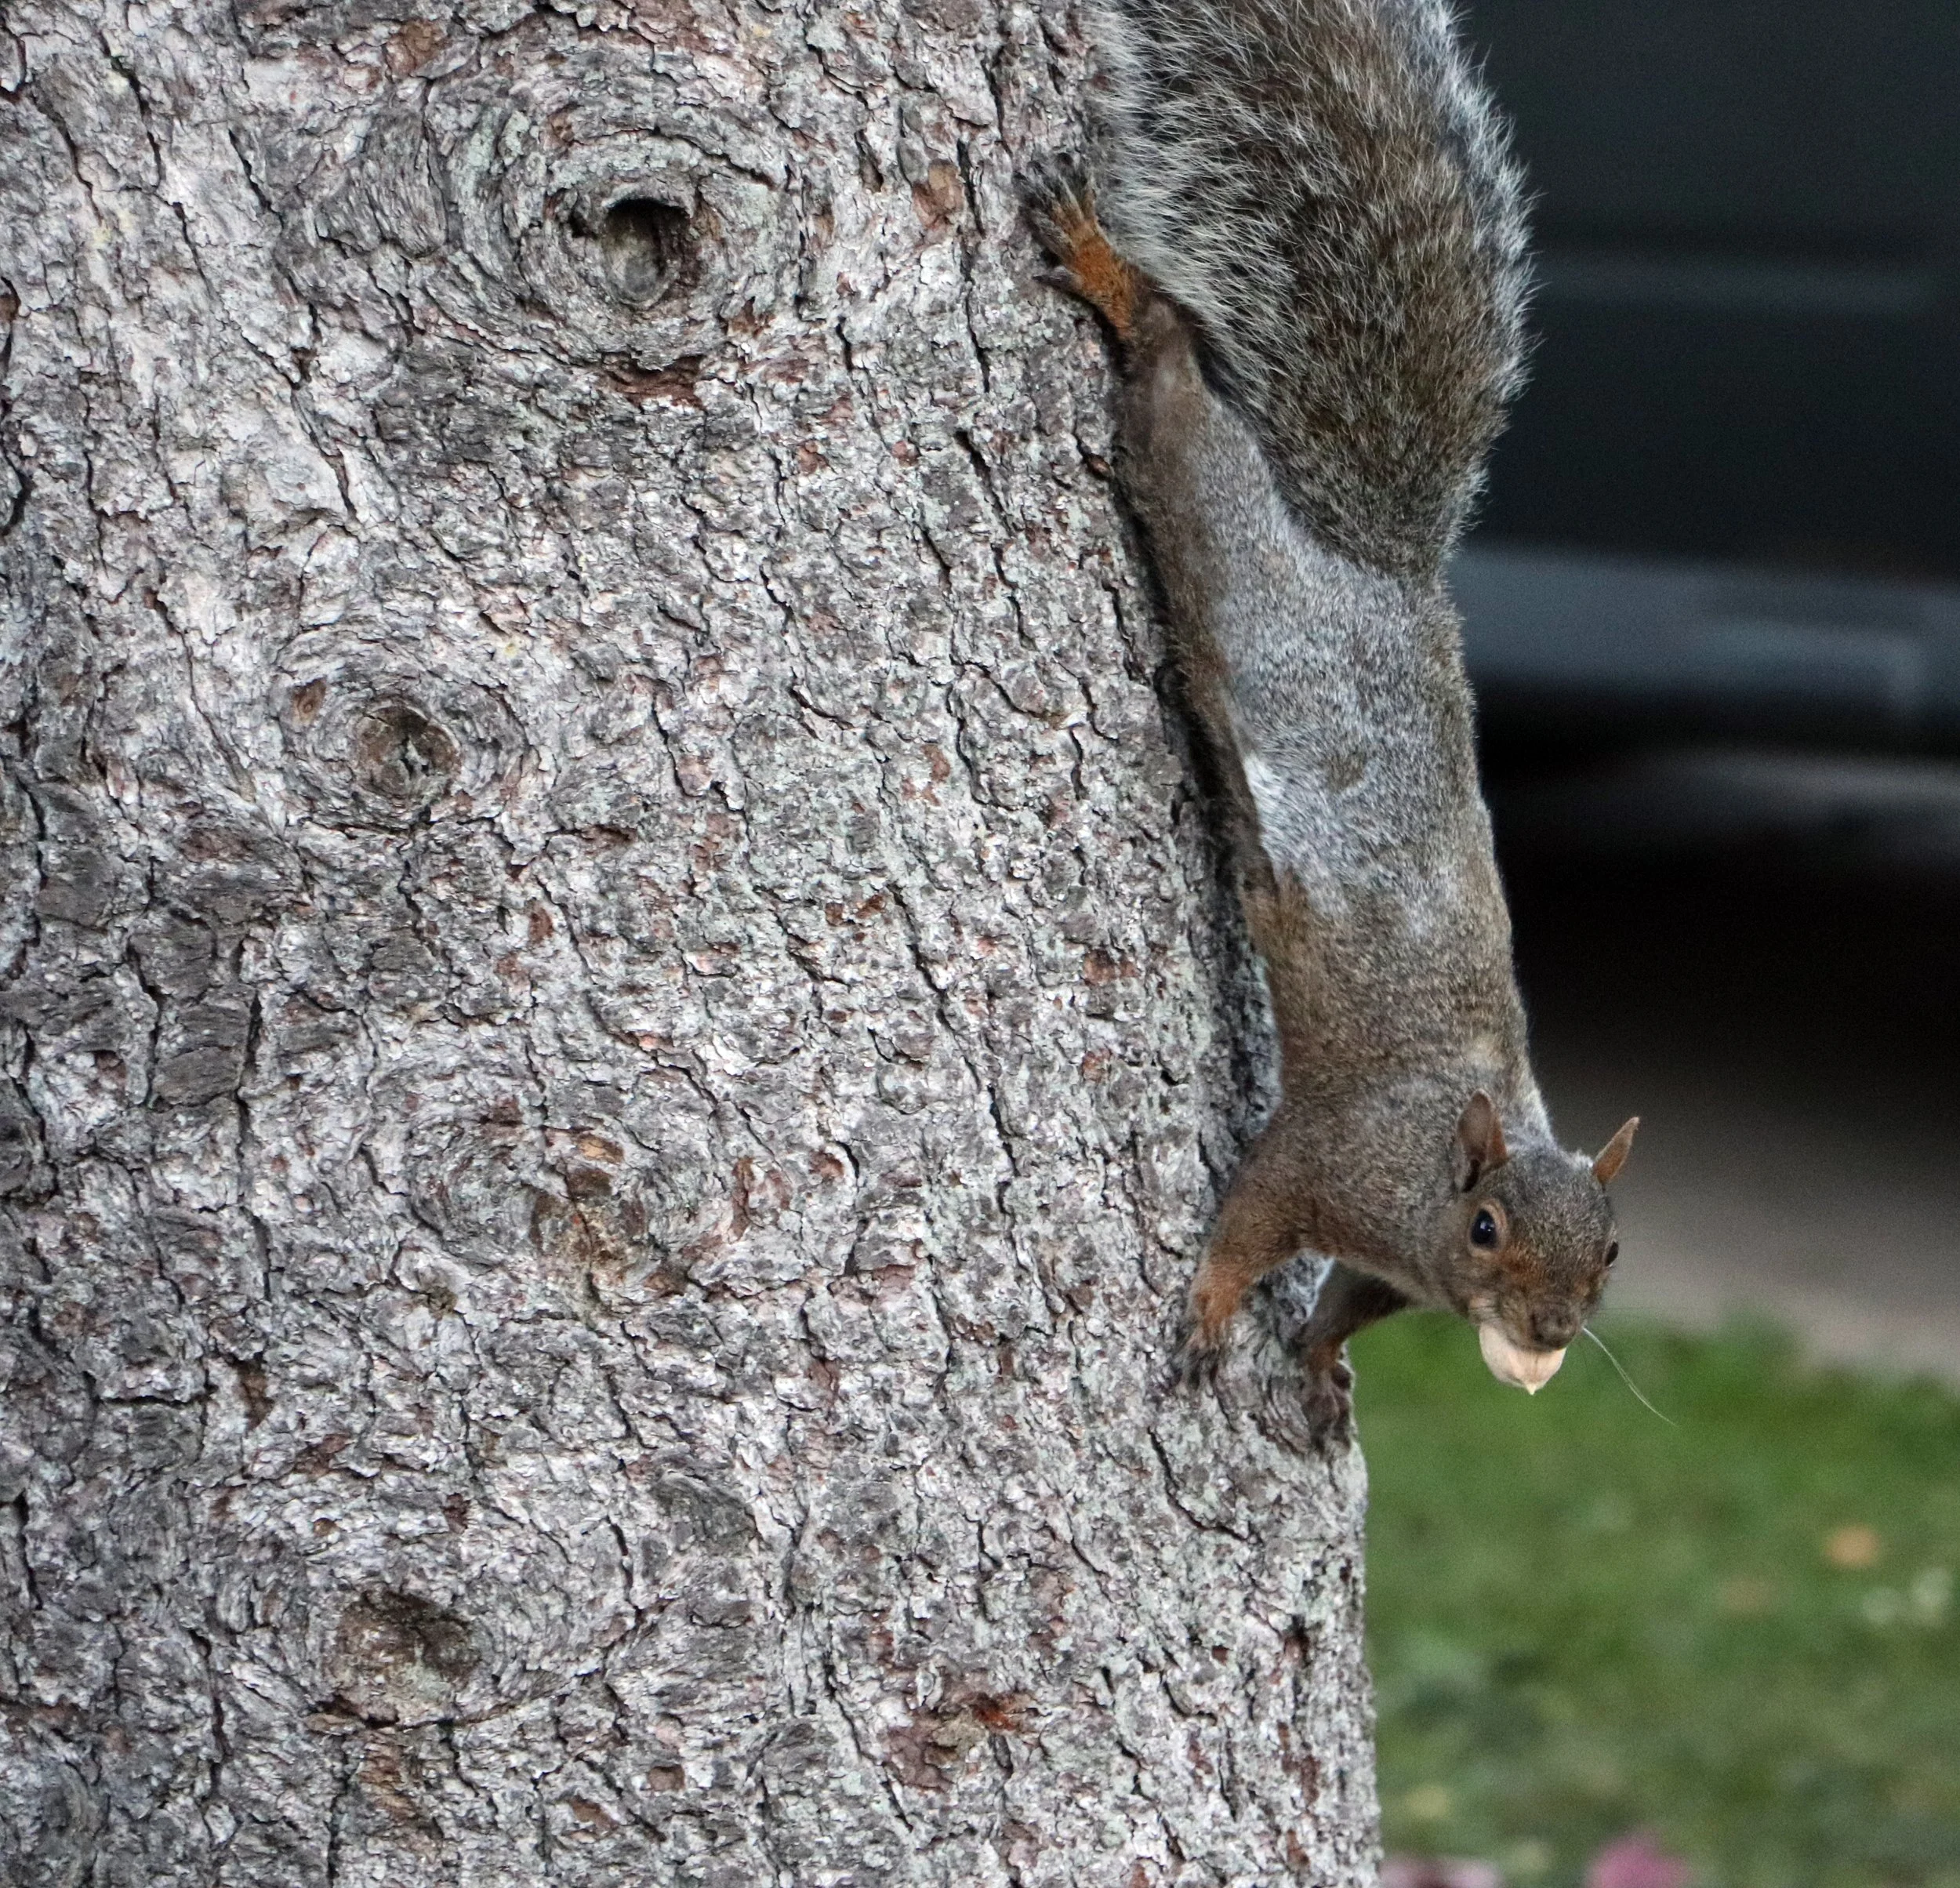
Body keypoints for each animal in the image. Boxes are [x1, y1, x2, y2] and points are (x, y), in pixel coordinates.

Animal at [1028, 0, 1639, 1443]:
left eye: (1612, 1250)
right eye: (1485, 1229)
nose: (1549, 1332)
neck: (1432, 1176)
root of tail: (1383, 569)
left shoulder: (1387, 1267)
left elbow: (1349, 1303)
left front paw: (1312, 1358)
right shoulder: (1327, 1162)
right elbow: (1249, 1219)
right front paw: (1209, 1313)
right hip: (1211, 504)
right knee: (1171, 377)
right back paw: (1111, 272)